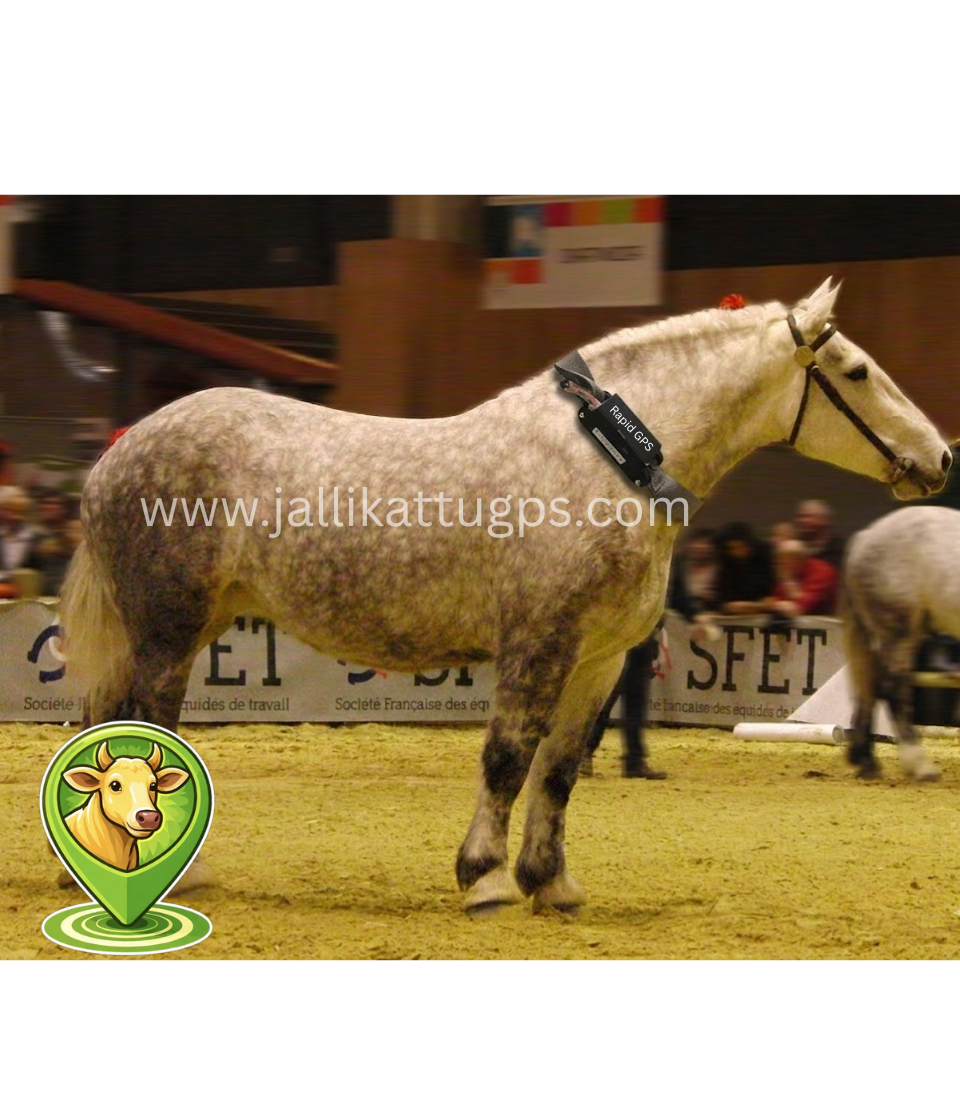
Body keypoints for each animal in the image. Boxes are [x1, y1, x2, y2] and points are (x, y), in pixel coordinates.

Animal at [842, 505, 960, 781]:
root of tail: (866, 536)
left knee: (871, 689)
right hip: (898, 630)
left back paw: (866, 762)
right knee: (894, 690)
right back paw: (920, 766)